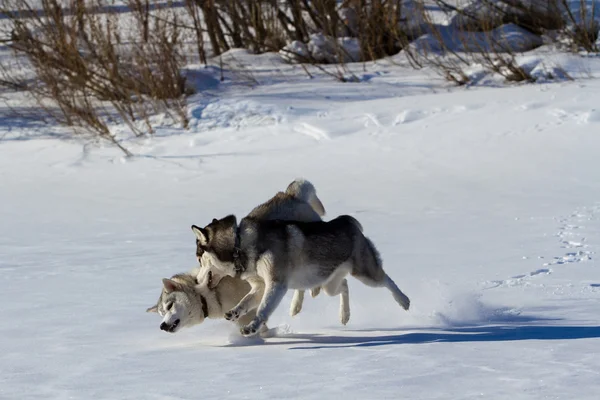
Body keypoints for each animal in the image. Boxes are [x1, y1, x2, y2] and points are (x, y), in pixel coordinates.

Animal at [198, 214, 412, 336]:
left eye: (199, 258)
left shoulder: (276, 284)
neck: (239, 245)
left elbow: (264, 309)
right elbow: (246, 301)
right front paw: (234, 311)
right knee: (344, 285)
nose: (198, 280)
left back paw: (403, 300)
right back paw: (344, 315)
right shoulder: (261, 286)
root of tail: (345, 221)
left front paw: (252, 327)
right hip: (328, 283)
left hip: (365, 272)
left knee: (386, 279)